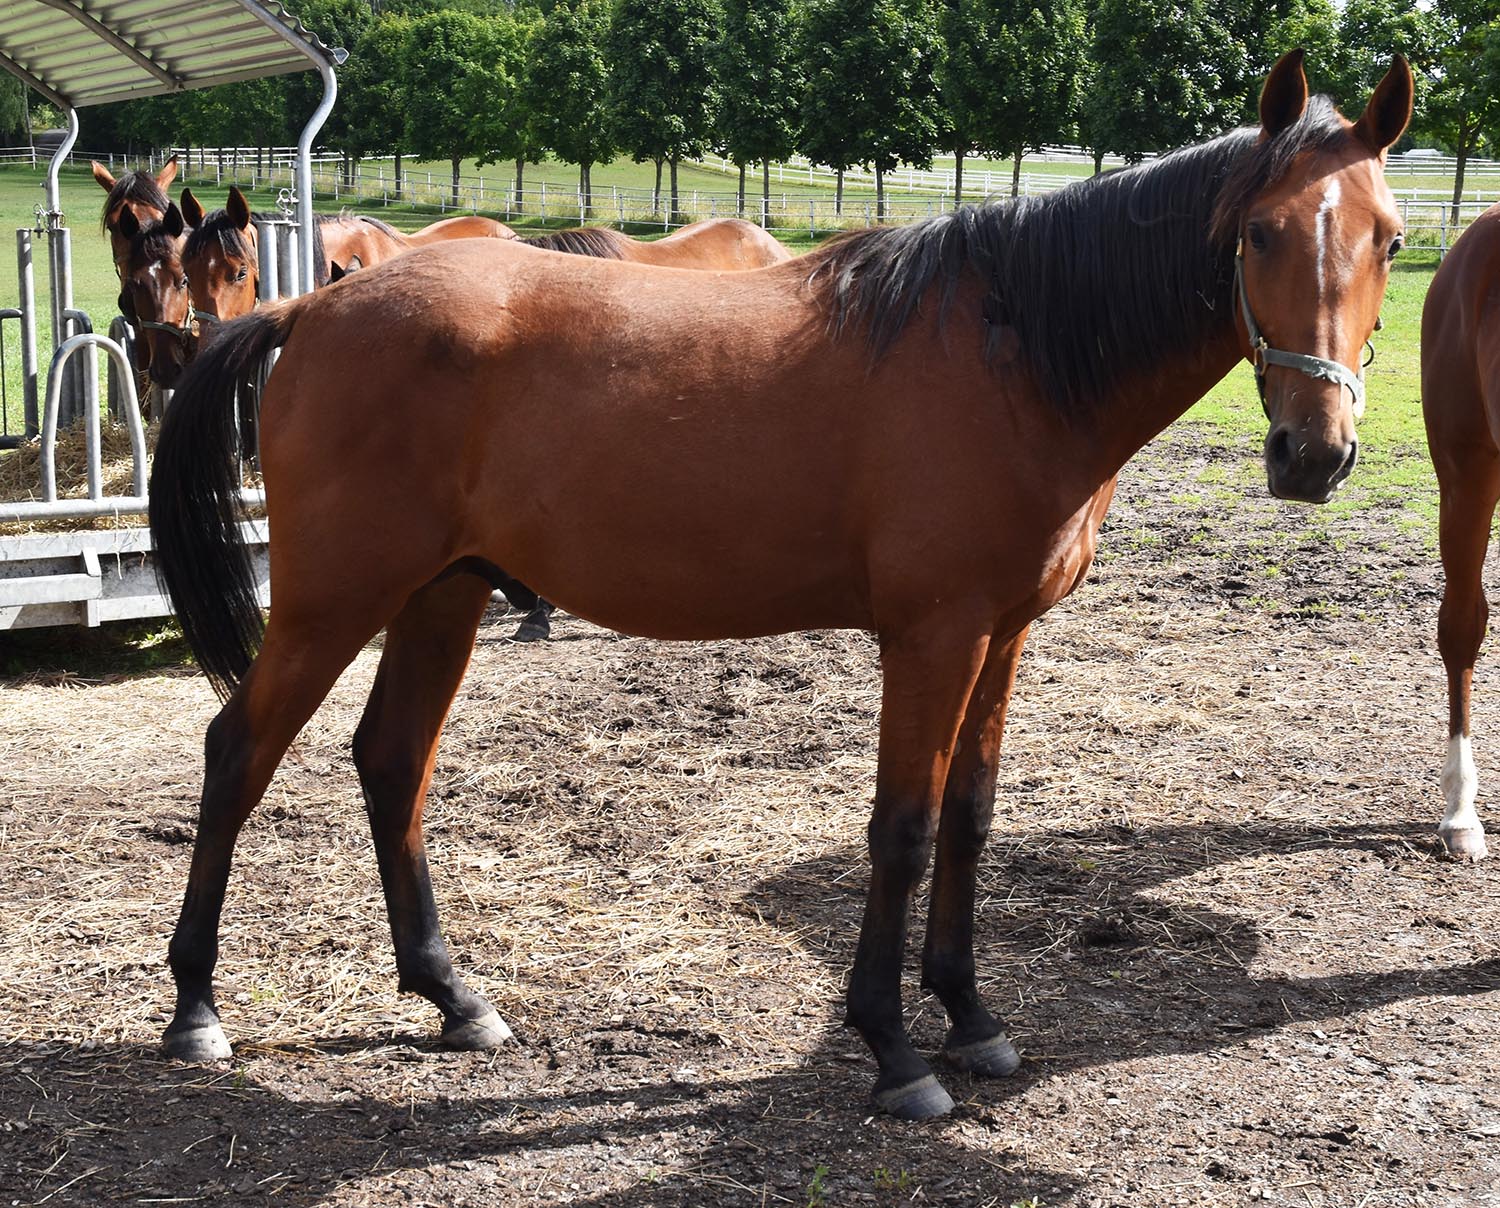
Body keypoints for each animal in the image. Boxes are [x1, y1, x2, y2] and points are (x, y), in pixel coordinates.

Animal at [146, 51, 1410, 1116]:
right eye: (1259, 233)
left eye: (1390, 239)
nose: (1315, 453)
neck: (1012, 354)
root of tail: (314, 303)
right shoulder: (933, 634)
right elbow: (903, 826)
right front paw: (896, 1049)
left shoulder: (1002, 635)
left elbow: (971, 816)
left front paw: (971, 1015)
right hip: (334, 600)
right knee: (237, 752)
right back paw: (196, 1007)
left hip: (442, 592)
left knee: (392, 759)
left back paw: (455, 996)